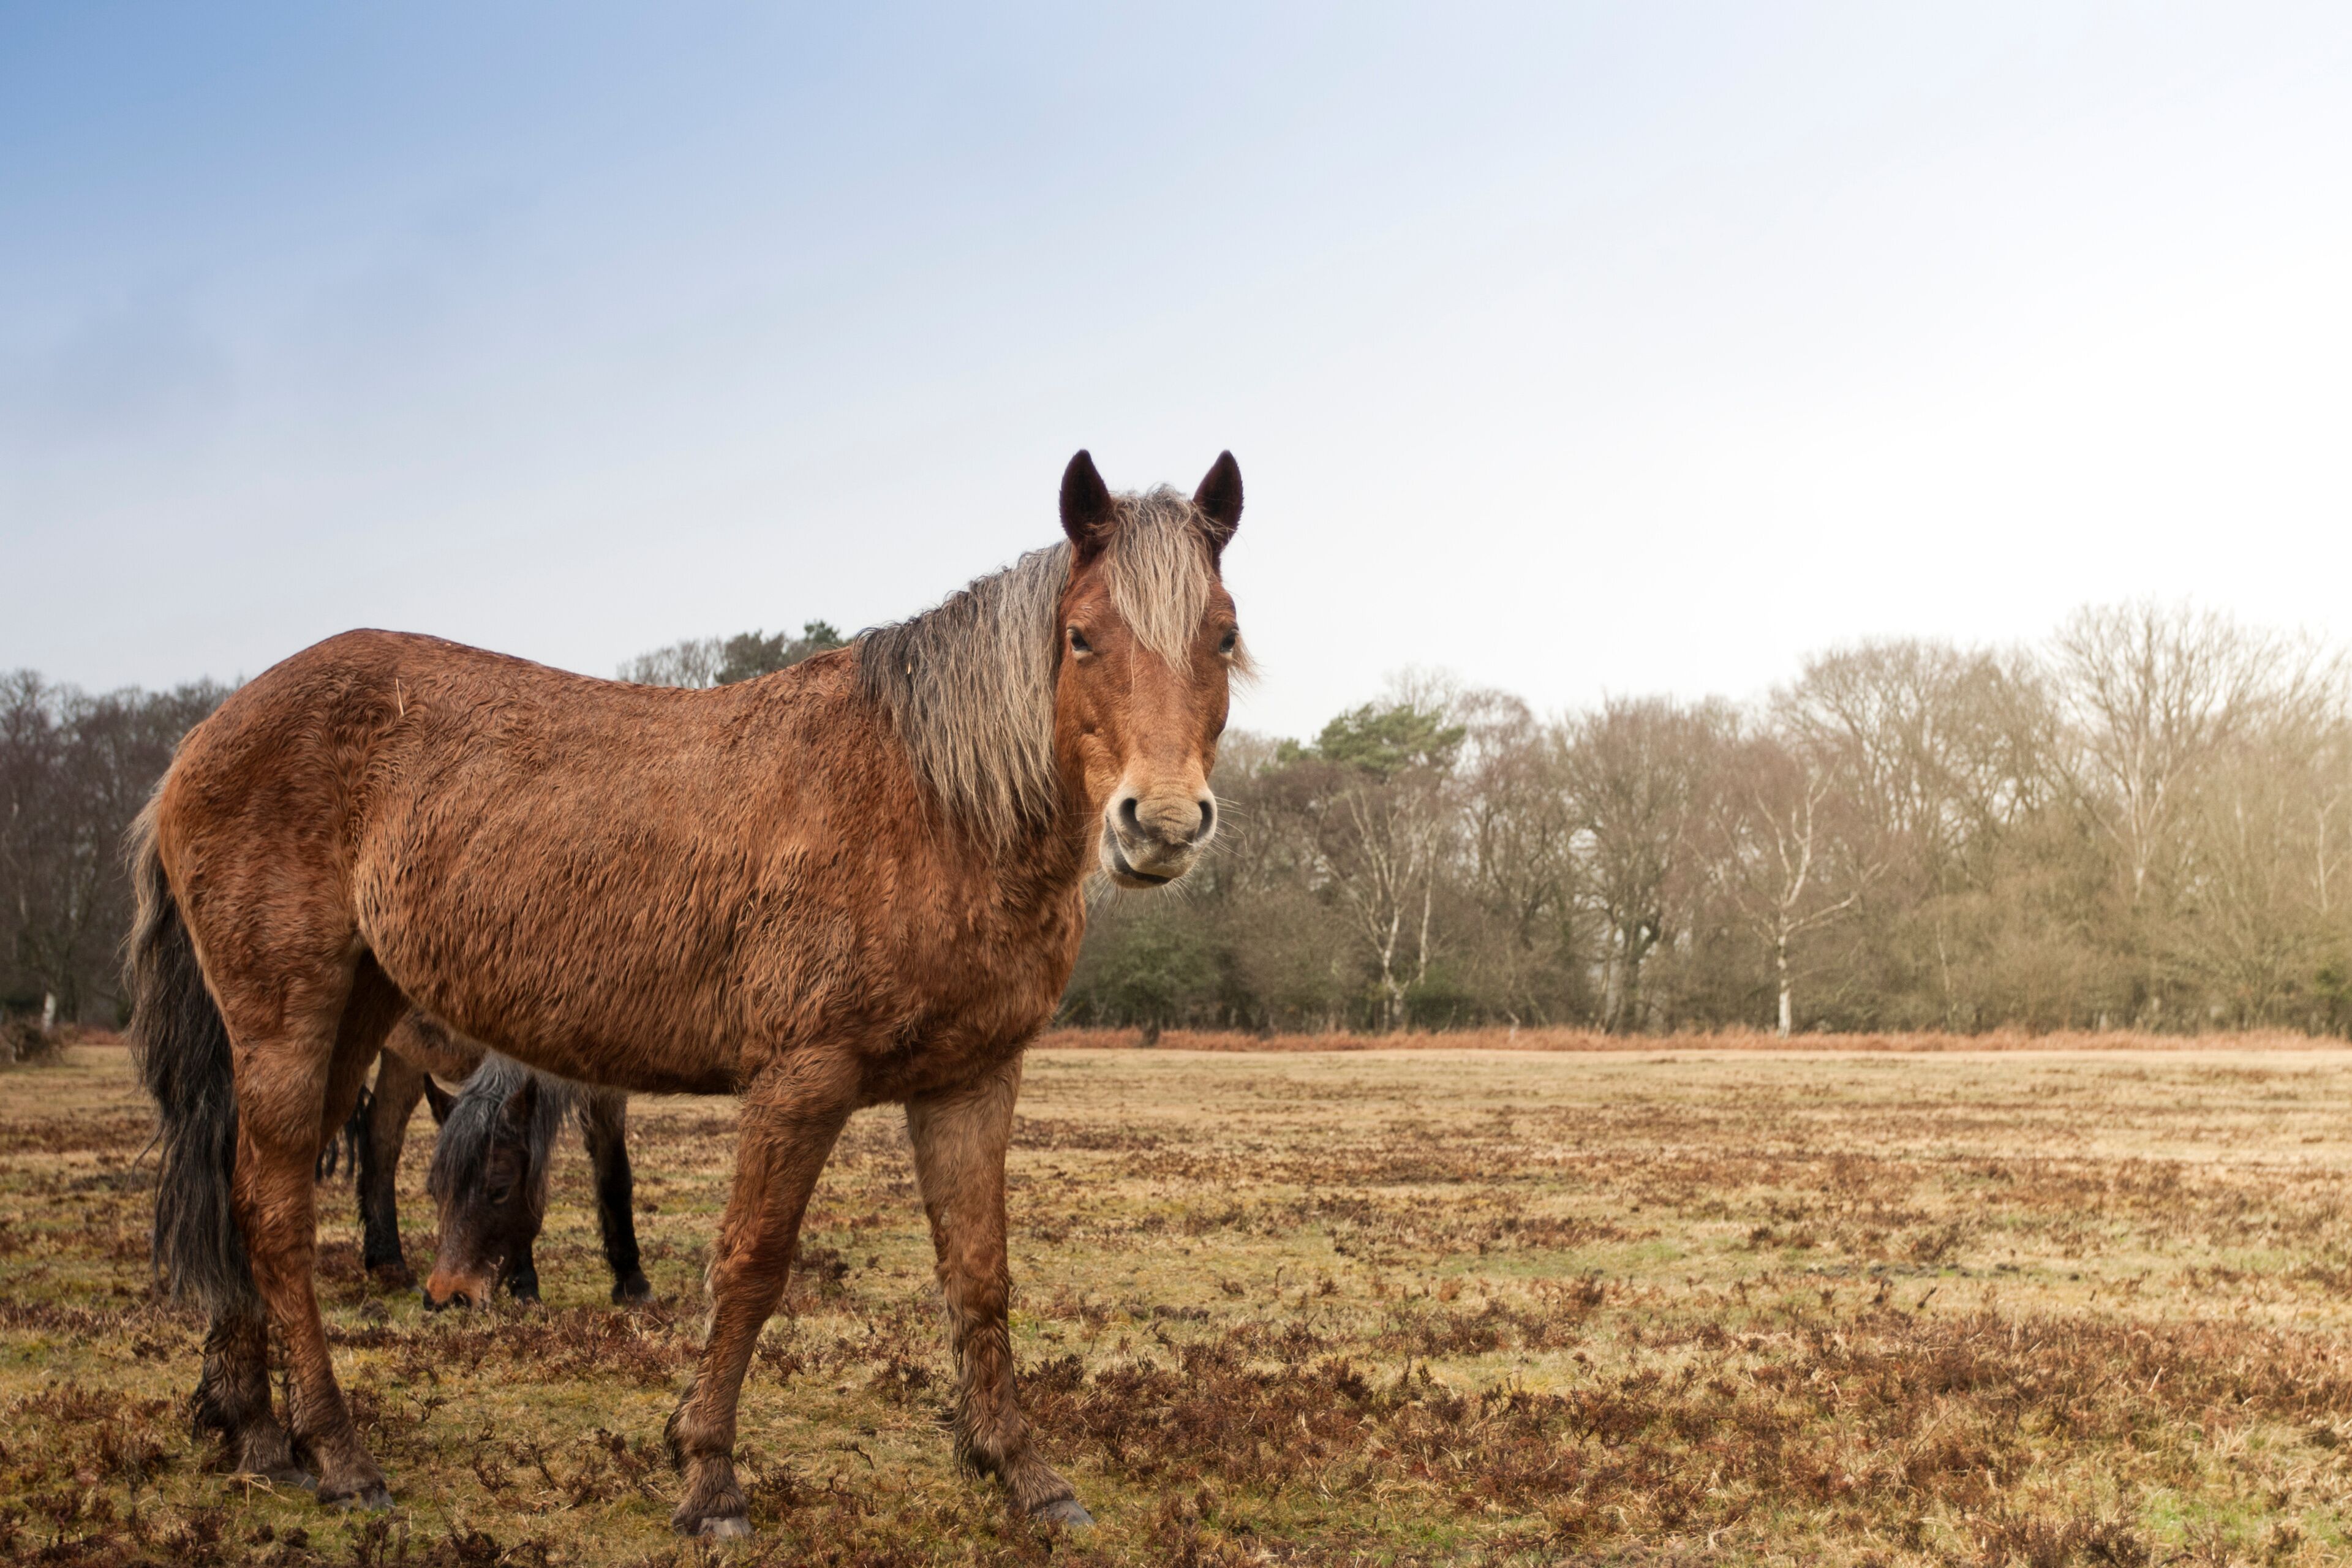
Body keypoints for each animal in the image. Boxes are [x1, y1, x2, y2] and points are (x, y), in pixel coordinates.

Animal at [319, 1010, 649, 1306]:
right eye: (434, 1191)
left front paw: (632, 1283)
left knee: (382, 1133)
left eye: (500, 1190)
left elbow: (615, 1177)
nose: (449, 1298)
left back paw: (390, 1267)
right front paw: (525, 1289)